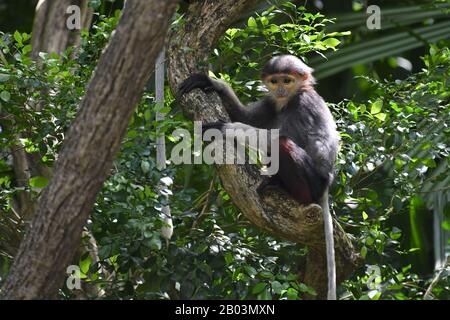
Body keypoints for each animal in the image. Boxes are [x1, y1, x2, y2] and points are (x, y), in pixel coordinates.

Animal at [178, 55, 340, 300]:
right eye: (275, 81)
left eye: (287, 80)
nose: (281, 89)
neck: (287, 100)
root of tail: (326, 184)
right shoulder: (270, 102)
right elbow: (248, 117)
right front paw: (211, 82)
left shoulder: (304, 103)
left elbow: (280, 137)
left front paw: (228, 128)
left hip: (313, 183)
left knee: (282, 143)